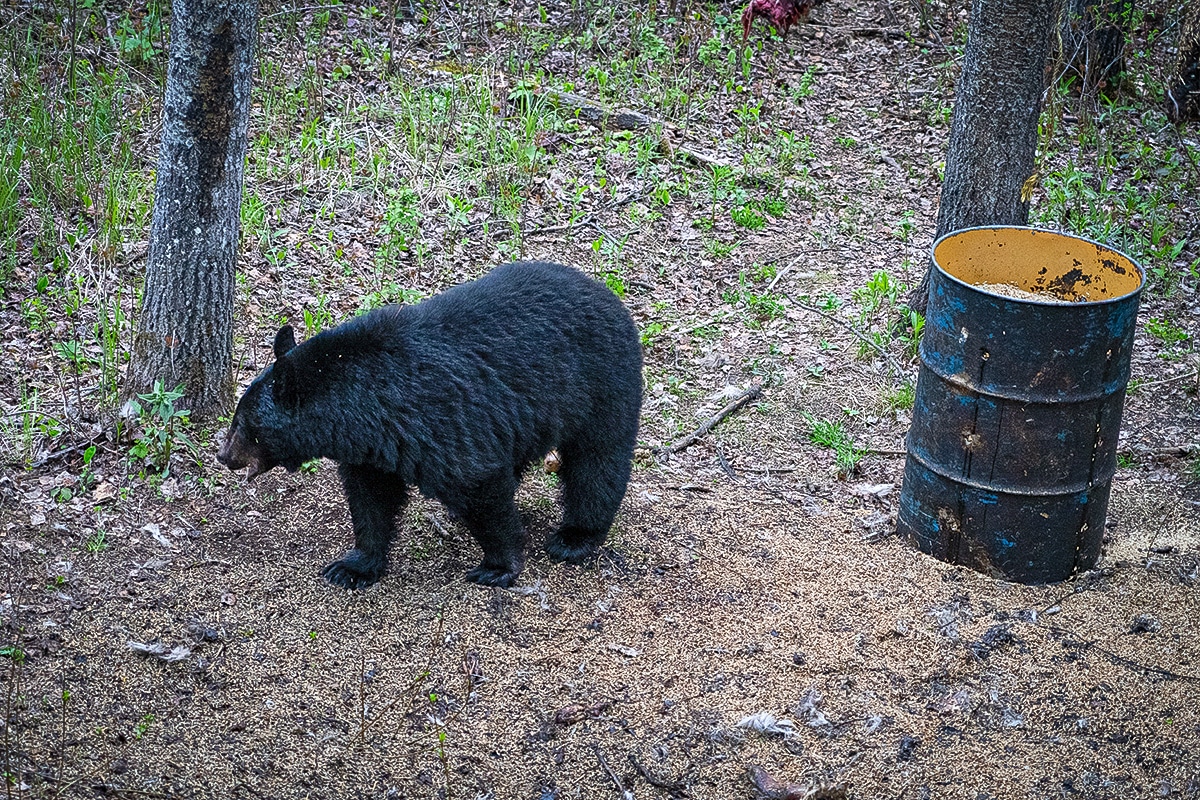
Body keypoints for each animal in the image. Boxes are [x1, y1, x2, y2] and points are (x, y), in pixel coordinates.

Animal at [219, 261, 643, 587]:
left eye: (243, 422)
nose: (223, 455)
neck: (366, 403)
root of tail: (610, 296)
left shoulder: (439, 420)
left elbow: (478, 481)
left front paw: (498, 566)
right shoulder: (372, 448)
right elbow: (372, 498)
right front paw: (353, 566)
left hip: (600, 385)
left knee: (597, 462)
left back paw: (575, 537)